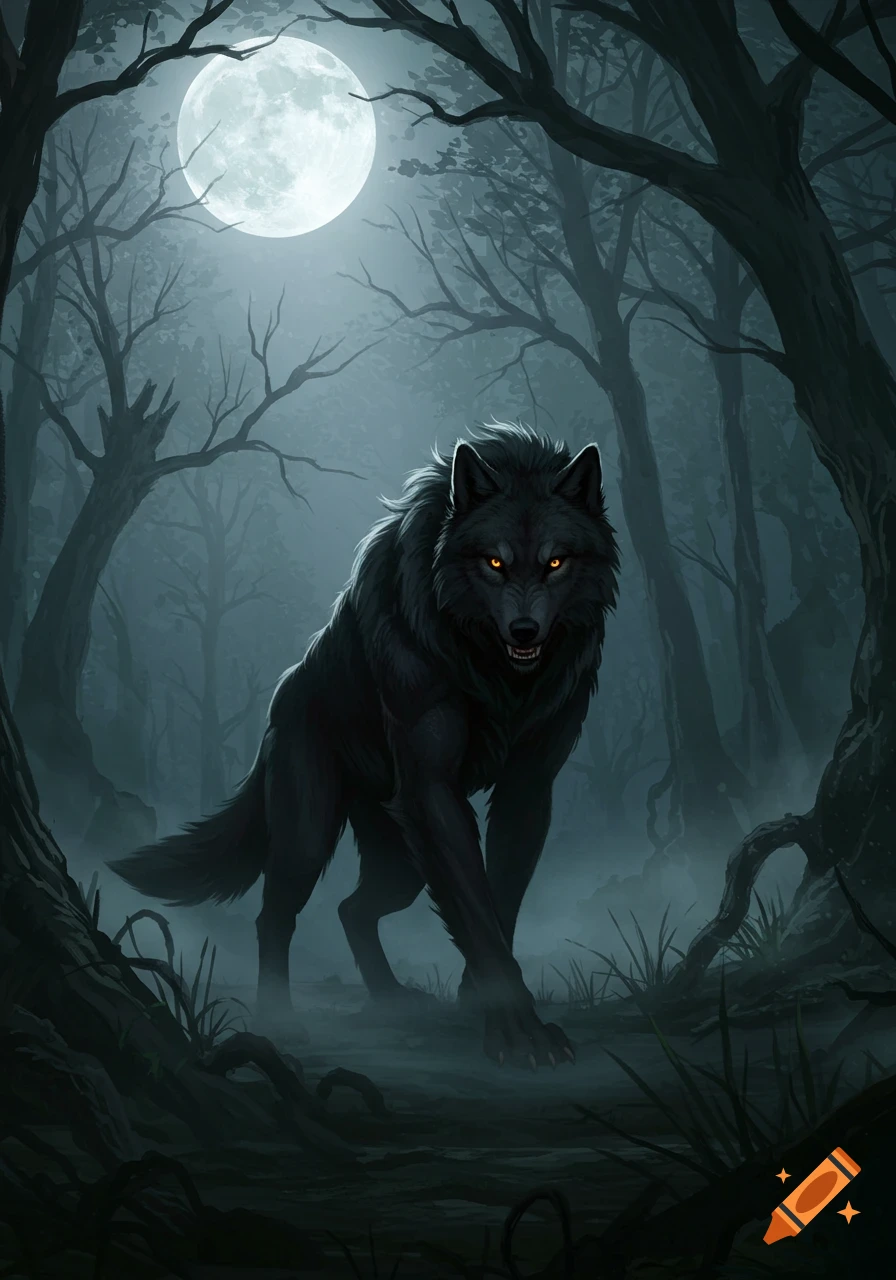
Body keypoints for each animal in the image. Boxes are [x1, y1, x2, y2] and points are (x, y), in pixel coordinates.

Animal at [110, 424, 619, 1067]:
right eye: (495, 562)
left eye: (555, 561)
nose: (524, 631)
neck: (497, 676)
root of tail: (280, 699)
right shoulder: (433, 788)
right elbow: (476, 910)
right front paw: (517, 1031)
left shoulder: (528, 787)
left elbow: (499, 902)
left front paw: (477, 999)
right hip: (310, 837)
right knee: (274, 917)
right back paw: (281, 1023)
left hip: (402, 864)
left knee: (352, 909)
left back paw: (392, 999)